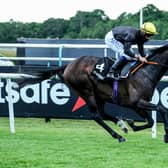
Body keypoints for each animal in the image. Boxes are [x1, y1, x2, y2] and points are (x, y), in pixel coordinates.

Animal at [34, 44, 168, 142]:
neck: (145, 73)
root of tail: (69, 65)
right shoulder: (136, 102)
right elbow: (161, 109)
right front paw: (166, 135)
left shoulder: (135, 105)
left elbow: (151, 121)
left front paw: (131, 124)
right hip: (86, 91)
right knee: (96, 116)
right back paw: (118, 136)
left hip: (99, 95)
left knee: (102, 113)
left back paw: (122, 125)